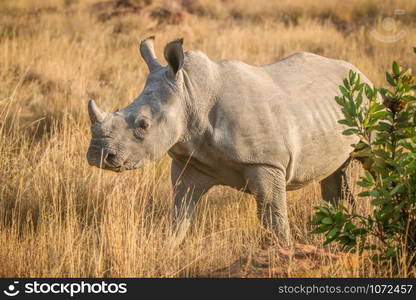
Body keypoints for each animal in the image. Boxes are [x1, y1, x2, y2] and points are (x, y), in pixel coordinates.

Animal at [86, 36, 372, 245]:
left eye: (143, 125)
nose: (97, 155)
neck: (191, 95)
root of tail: (359, 71)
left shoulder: (266, 162)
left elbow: (273, 217)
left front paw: (284, 254)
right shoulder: (192, 163)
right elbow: (179, 215)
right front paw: (167, 250)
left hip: (368, 97)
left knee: (373, 160)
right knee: (334, 173)